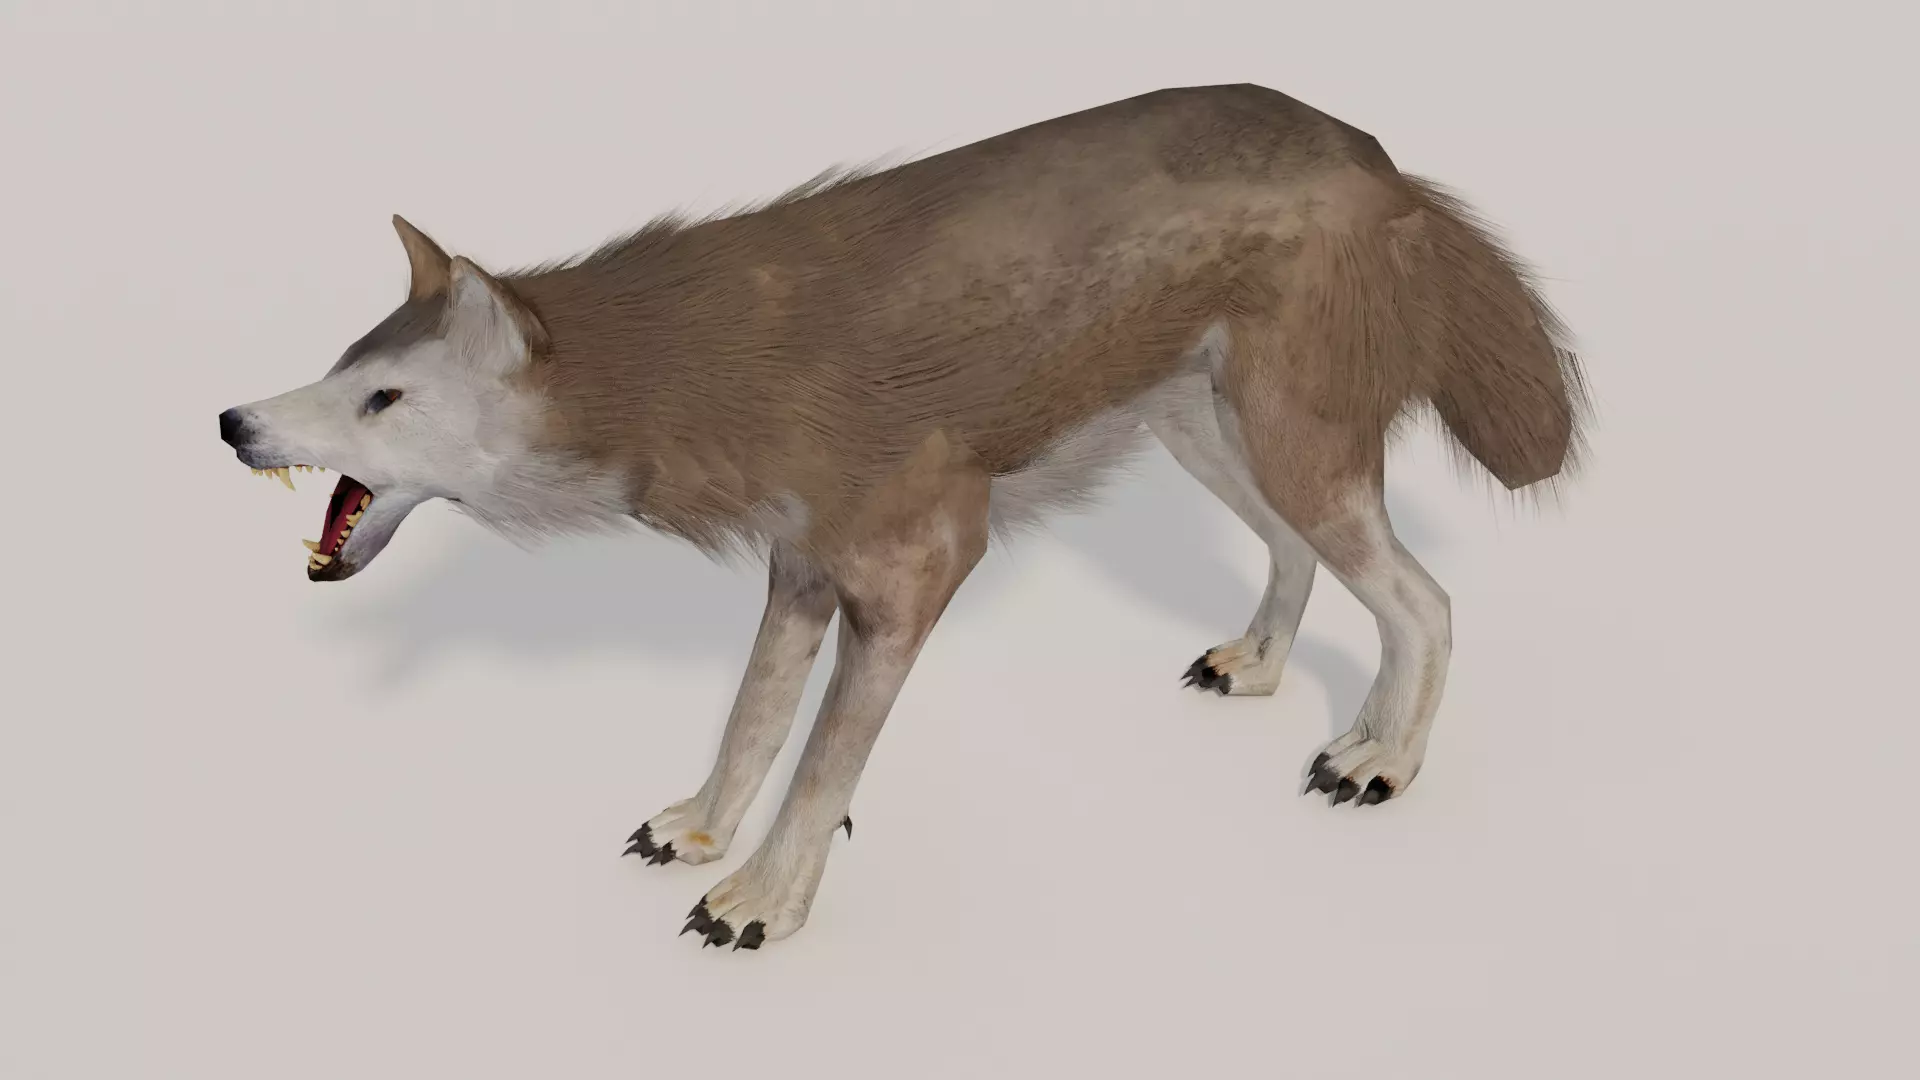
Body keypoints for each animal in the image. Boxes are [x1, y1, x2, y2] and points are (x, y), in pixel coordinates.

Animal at [218, 84, 1588, 951]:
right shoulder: (801, 562)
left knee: (1426, 600)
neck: (700, 370)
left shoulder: (919, 558)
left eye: (384, 398)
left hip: (1283, 439)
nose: (234, 422)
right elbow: (754, 721)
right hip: (1210, 433)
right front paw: (702, 831)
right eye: (338, 372)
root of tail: (1377, 155)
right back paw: (1252, 665)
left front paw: (761, 903)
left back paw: (1378, 759)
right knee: (1300, 554)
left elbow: (826, 759)